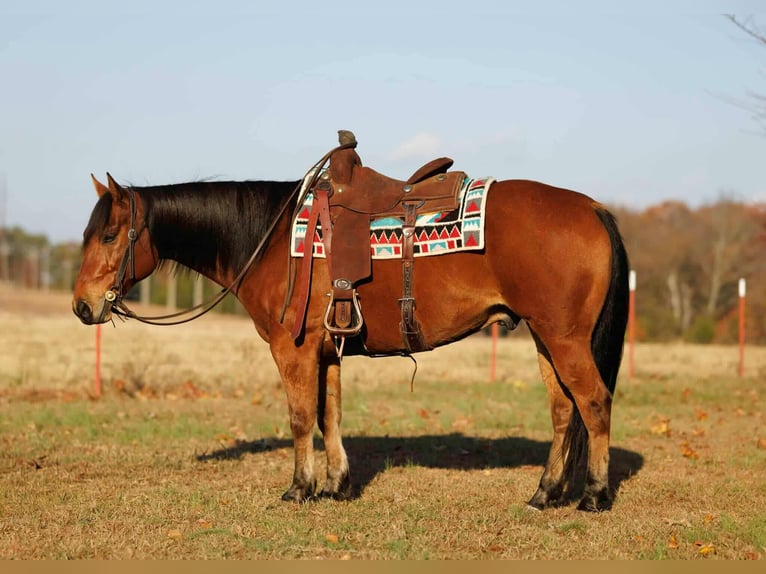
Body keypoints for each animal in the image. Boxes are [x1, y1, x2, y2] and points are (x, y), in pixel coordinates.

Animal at [72, 144, 629, 512]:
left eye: (109, 235)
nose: (81, 306)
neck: (271, 239)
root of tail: (593, 207)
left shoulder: (293, 350)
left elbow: (301, 418)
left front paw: (299, 488)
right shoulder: (329, 351)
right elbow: (330, 416)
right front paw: (335, 485)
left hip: (564, 339)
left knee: (594, 403)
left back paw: (594, 496)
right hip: (544, 337)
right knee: (564, 411)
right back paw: (544, 493)